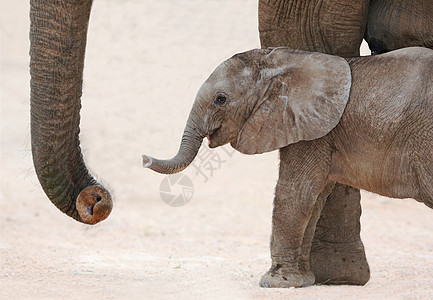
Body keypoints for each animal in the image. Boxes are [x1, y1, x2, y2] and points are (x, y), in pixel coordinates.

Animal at [143, 47, 432, 288]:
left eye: (221, 99)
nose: (144, 158)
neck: (284, 61)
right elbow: (314, 200)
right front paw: (302, 281)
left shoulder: (311, 130)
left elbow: (294, 193)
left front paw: (275, 283)